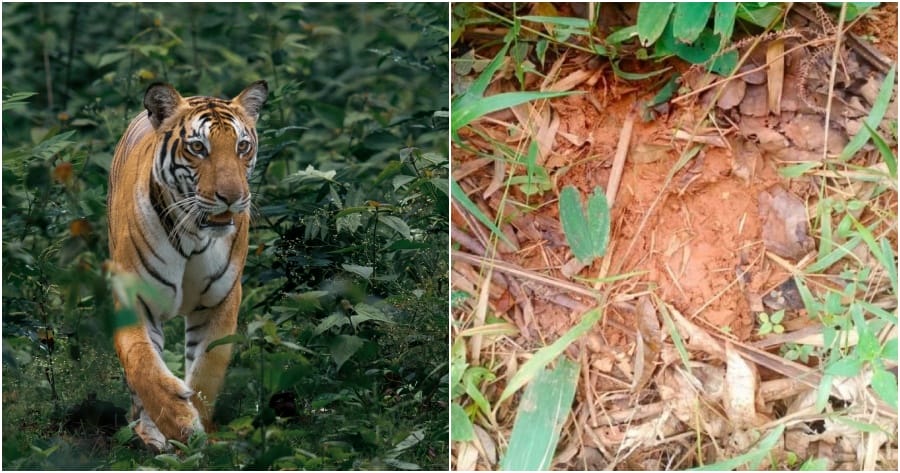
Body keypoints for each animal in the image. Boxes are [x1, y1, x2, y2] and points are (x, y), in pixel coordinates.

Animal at [107, 80, 267, 451]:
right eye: (198, 147)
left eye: (242, 146)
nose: (231, 197)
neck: (194, 234)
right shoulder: (133, 296)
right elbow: (142, 363)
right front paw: (178, 424)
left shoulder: (221, 300)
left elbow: (208, 369)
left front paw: (199, 429)